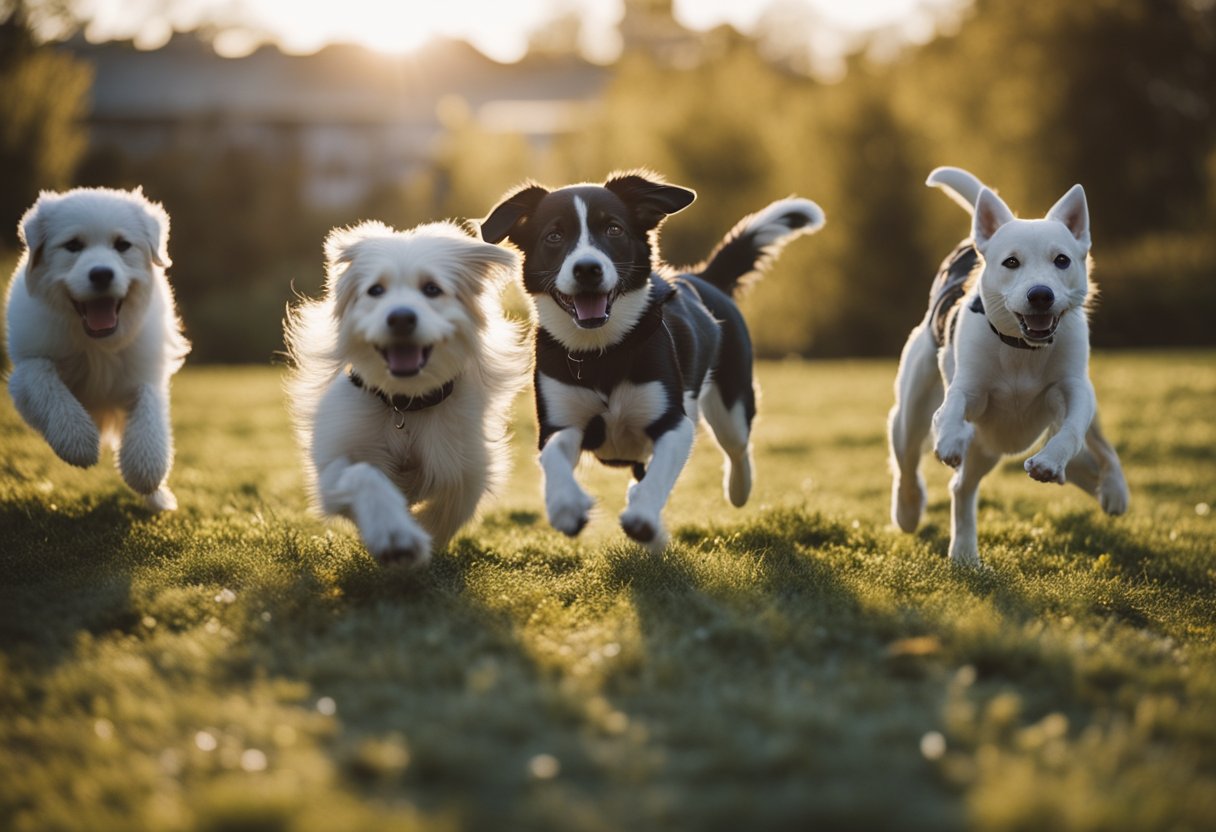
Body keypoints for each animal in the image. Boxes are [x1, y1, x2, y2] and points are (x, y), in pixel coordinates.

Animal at [3, 188, 188, 510]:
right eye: (73, 246)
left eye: (122, 245)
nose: (101, 274)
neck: (96, 344)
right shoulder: (27, 365)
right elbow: (46, 383)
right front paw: (78, 441)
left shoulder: (146, 371)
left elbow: (150, 419)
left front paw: (147, 471)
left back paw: (160, 499)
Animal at [286, 218, 530, 564]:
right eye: (375, 290)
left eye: (432, 289)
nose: (401, 317)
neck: (404, 404)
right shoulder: (335, 462)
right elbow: (364, 475)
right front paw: (394, 533)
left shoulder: (469, 465)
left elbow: (450, 507)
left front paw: (419, 534)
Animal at [479, 171, 822, 549]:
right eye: (554, 236)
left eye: (614, 229)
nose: (587, 269)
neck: (602, 352)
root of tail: (702, 276)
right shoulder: (560, 421)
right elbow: (552, 455)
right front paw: (567, 507)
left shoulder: (673, 423)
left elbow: (659, 474)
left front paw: (642, 518)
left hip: (731, 399)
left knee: (737, 447)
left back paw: (737, 490)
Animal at [885, 164, 1128, 564]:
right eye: (1011, 262)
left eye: (1062, 260)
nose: (1041, 295)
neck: (1023, 350)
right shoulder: (968, 387)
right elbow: (952, 406)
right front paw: (949, 438)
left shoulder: (1075, 389)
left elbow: (1071, 430)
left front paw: (1049, 463)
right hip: (913, 413)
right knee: (914, 463)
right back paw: (916, 515)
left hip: (1001, 443)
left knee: (1093, 451)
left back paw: (1112, 490)